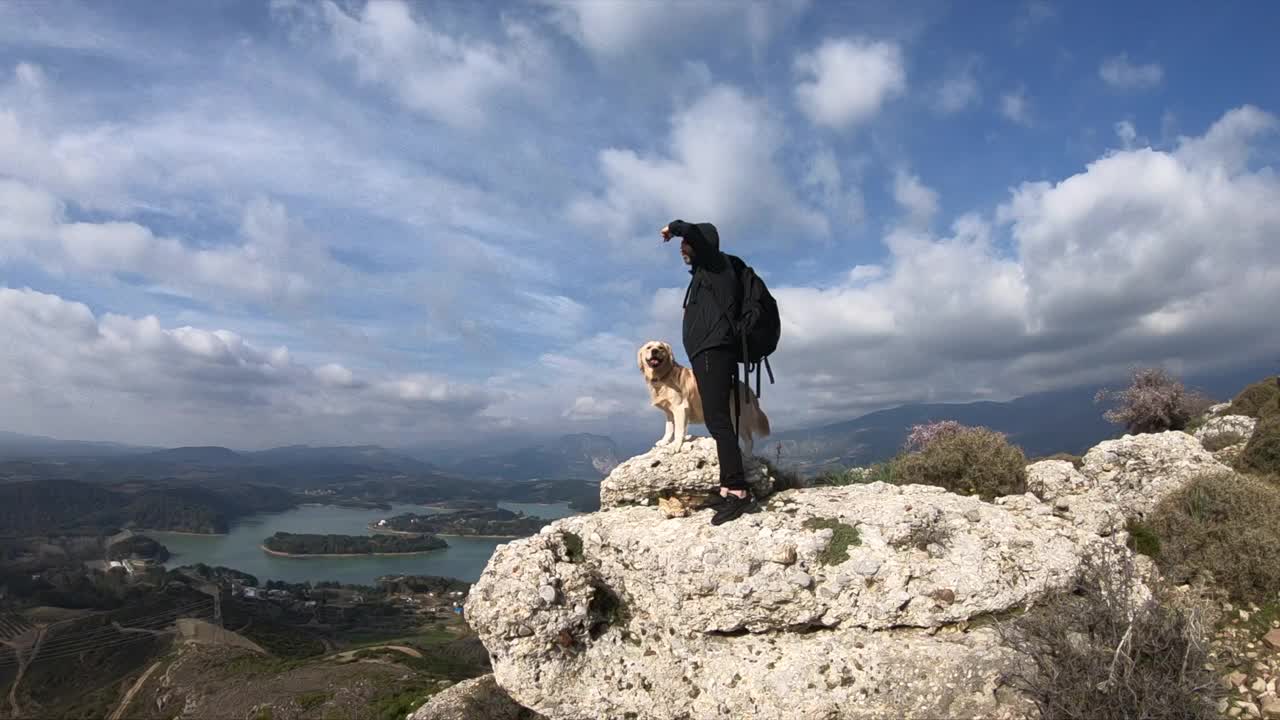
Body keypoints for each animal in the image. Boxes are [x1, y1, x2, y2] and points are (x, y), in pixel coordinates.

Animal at [637, 338, 768, 450]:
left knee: (749, 440)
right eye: (649, 347)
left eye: (661, 348)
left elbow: (678, 430)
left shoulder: (680, 408)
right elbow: (669, 429)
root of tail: (748, 388)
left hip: (737, 416)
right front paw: (664, 441)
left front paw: (675, 445)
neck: (663, 375)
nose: (654, 351)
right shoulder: (670, 412)